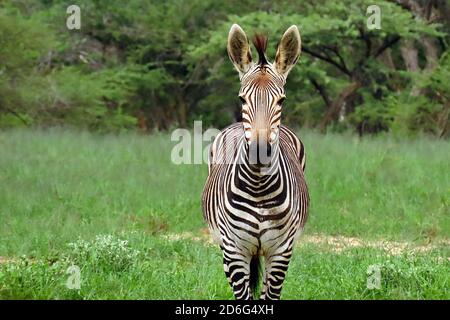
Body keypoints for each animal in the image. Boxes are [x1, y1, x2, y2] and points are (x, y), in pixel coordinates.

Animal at [201, 24, 310, 300]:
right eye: (242, 99)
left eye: (281, 100)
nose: (260, 151)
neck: (259, 186)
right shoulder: (234, 250)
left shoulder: (281, 250)